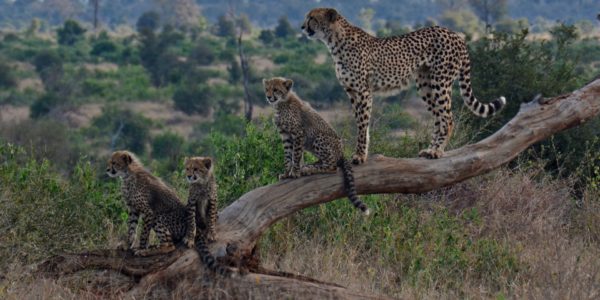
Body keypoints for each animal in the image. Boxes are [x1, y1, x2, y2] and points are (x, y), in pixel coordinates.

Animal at [300, 7, 506, 162]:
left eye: (312, 18)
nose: (302, 27)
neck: (334, 40)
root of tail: (455, 34)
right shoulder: (352, 92)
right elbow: (360, 123)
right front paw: (361, 152)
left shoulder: (363, 91)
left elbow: (362, 125)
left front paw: (359, 156)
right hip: (426, 86)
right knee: (438, 119)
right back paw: (429, 150)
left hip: (440, 82)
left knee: (447, 118)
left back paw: (437, 151)